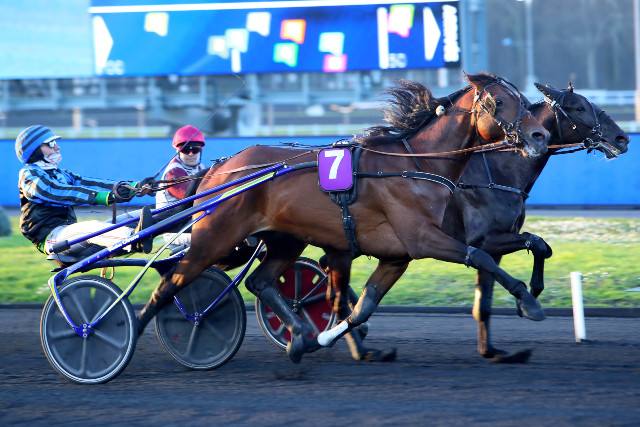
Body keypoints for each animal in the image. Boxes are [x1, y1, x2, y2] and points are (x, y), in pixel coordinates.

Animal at [135, 72, 550, 364]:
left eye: (525, 100)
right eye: (499, 101)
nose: (540, 135)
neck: (416, 165)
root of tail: (221, 168)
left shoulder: (397, 255)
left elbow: (362, 303)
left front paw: (328, 337)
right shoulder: (423, 238)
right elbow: (480, 257)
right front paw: (528, 303)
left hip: (286, 239)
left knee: (260, 281)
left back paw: (299, 336)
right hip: (213, 236)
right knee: (170, 283)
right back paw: (128, 333)